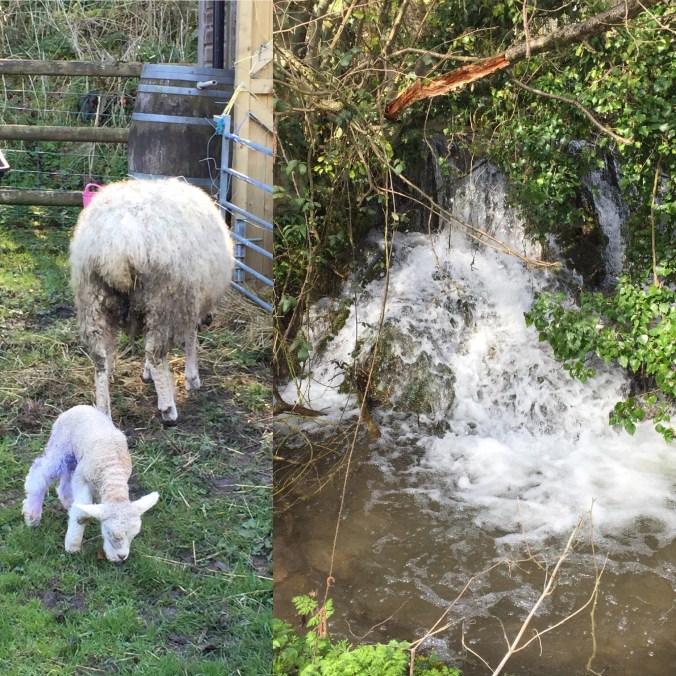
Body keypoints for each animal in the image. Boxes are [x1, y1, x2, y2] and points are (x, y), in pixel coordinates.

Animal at [22, 405, 159, 562]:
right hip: (61, 448)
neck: (112, 471)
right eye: (109, 532)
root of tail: (80, 406)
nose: (122, 557)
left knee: (65, 484)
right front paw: (72, 546)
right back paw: (32, 516)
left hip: (74, 459)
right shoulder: (83, 479)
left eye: (134, 535)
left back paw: (68, 504)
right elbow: (82, 512)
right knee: (39, 474)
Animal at [69, 177, 234, 422]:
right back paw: (167, 408)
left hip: (93, 298)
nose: (210, 320)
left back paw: (104, 409)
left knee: (100, 359)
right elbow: (191, 338)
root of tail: (117, 243)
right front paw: (192, 377)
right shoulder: (188, 302)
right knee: (155, 352)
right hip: (164, 299)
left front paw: (147, 373)